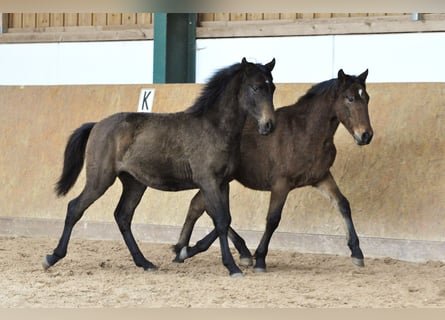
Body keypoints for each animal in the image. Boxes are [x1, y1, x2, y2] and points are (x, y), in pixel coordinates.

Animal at [172, 69, 372, 272]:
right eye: (350, 98)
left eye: (367, 98)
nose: (366, 135)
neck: (305, 132)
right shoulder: (281, 184)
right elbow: (272, 219)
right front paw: (260, 258)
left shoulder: (321, 177)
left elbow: (343, 204)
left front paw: (357, 252)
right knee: (209, 210)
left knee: (199, 206)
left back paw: (187, 249)